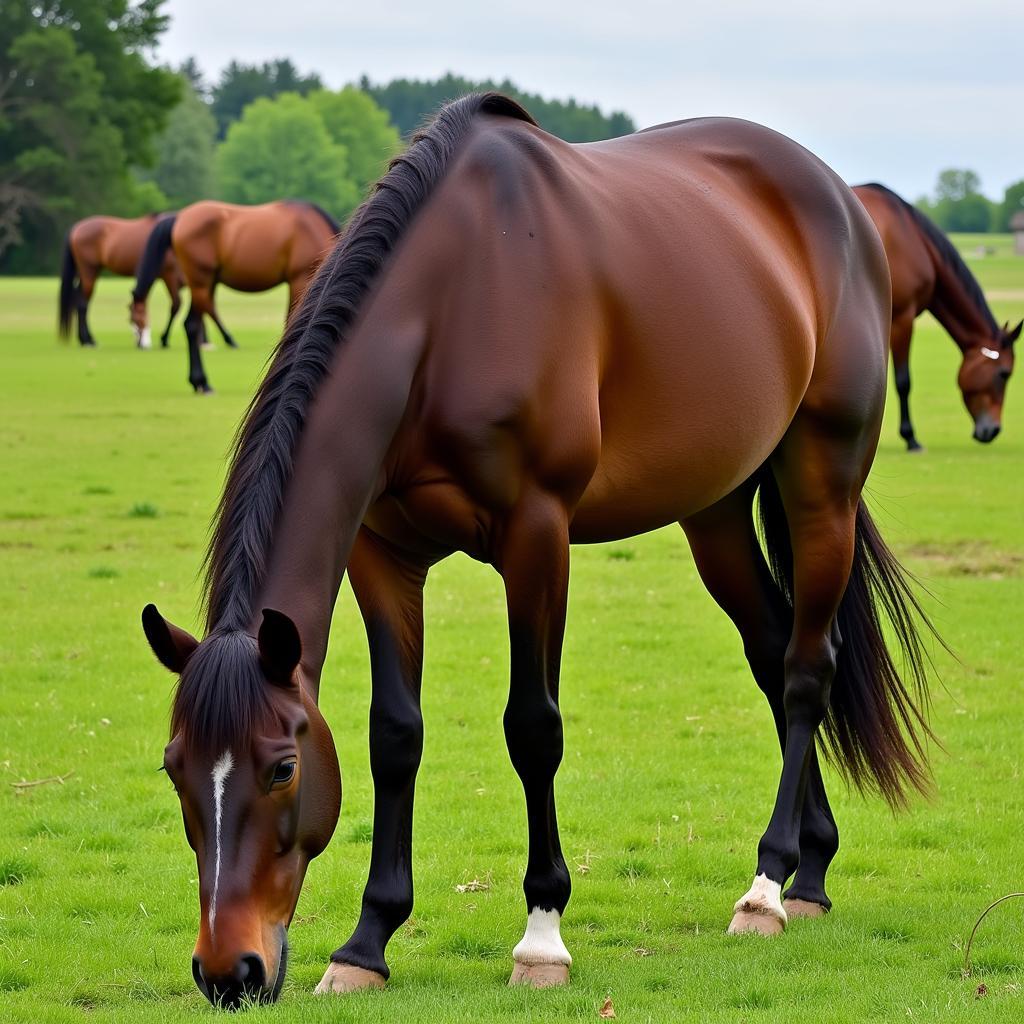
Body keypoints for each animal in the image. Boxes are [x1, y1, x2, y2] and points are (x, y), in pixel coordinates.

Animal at [57, 211, 183, 348]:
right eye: (132, 319)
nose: (140, 343)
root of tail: (76, 228)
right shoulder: (169, 276)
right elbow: (176, 305)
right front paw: (164, 339)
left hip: (85, 274)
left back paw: (85, 339)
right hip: (89, 272)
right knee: (82, 304)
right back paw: (88, 341)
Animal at [130, 199, 339, 391]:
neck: (314, 229)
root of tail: (180, 217)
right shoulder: (300, 279)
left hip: (205, 284)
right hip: (200, 282)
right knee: (192, 325)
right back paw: (202, 381)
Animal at [851, 184, 1019, 448]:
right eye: (1004, 373)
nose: (992, 430)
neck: (912, 237)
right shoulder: (902, 319)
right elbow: (903, 381)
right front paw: (910, 438)